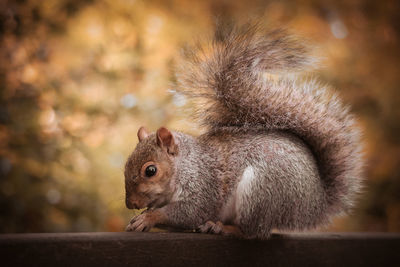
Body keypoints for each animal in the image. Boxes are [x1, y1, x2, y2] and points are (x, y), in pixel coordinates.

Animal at [123, 22, 364, 240]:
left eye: (151, 170)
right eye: (126, 165)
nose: (130, 204)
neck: (185, 166)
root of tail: (314, 204)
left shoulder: (204, 186)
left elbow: (189, 213)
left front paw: (149, 217)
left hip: (261, 192)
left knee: (255, 232)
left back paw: (222, 227)